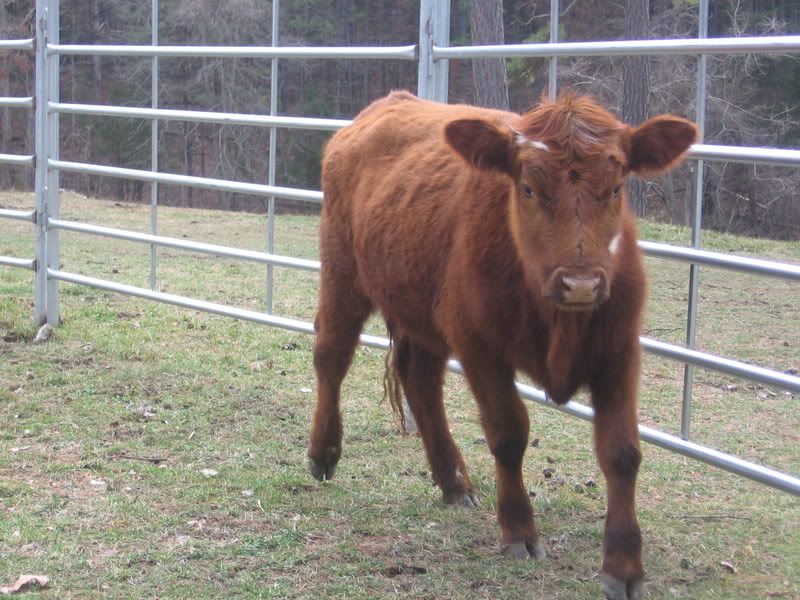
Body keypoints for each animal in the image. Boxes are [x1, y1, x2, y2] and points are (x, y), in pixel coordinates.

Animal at [307, 90, 697, 600]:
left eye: (616, 188)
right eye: (528, 188)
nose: (581, 284)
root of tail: (388, 104)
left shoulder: (619, 351)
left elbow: (622, 452)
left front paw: (624, 565)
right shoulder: (479, 346)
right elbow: (509, 433)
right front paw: (519, 531)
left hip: (417, 305)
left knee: (420, 380)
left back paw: (454, 482)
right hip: (342, 274)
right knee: (331, 357)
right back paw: (323, 453)